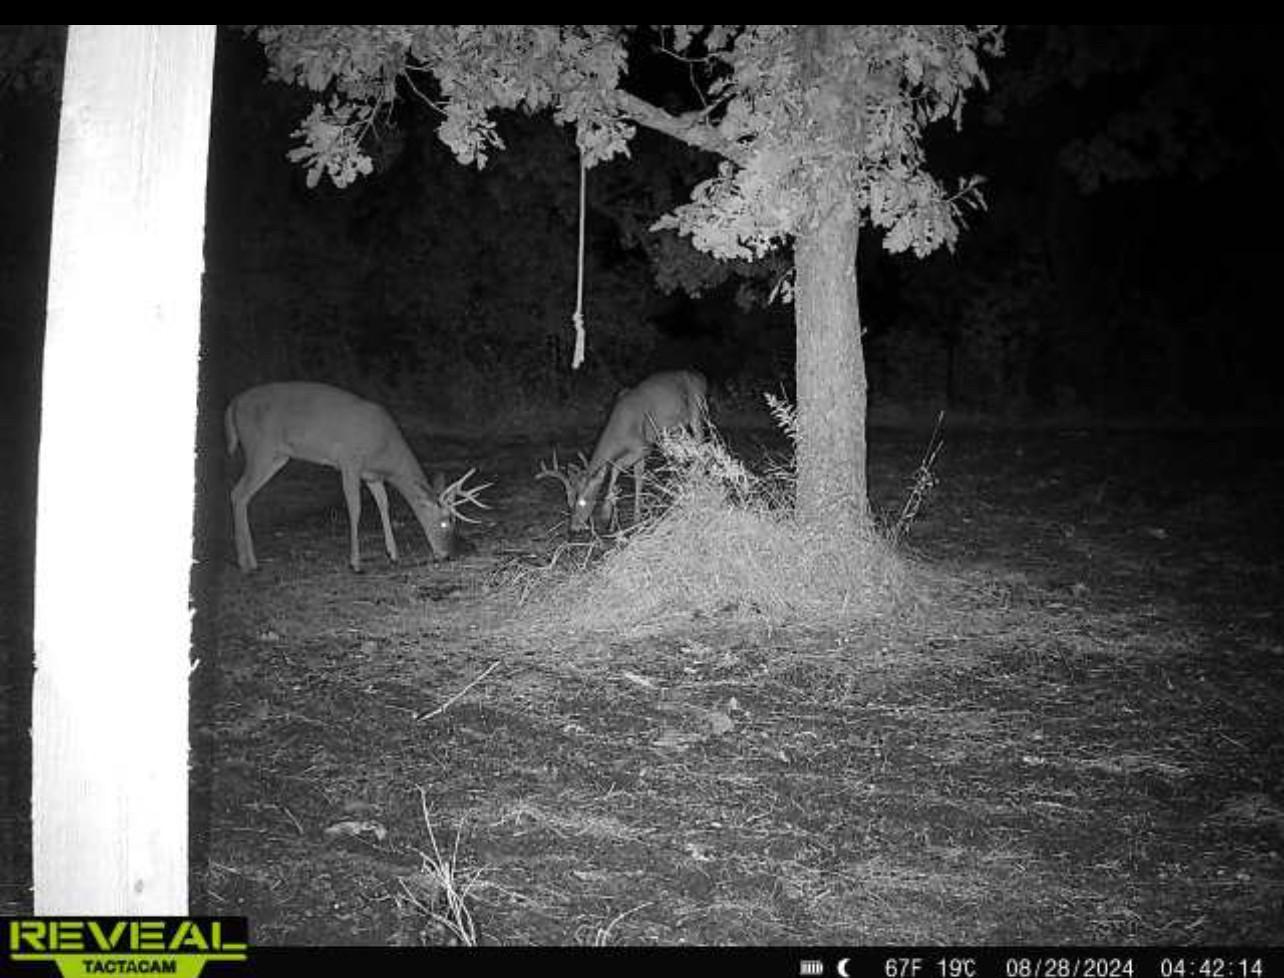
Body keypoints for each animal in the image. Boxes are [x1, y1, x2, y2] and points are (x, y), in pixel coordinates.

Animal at [225, 382, 488, 573]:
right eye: (445, 522)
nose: (448, 554)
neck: (386, 453)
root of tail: (234, 404)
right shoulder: (350, 461)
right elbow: (355, 508)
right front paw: (355, 563)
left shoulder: (372, 475)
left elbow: (384, 504)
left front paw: (393, 554)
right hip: (260, 448)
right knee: (237, 493)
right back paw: (247, 562)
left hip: (277, 456)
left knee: (242, 495)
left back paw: (248, 560)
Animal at [538, 369, 708, 531]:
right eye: (569, 501)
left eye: (583, 501)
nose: (574, 527)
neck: (619, 432)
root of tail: (701, 378)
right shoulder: (641, 451)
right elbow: (638, 476)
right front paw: (633, 519)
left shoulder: (643, 445)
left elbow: (615, 467)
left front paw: (606, 514)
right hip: (675, 428)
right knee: (683, 451)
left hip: (696, 410)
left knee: (701, 442)